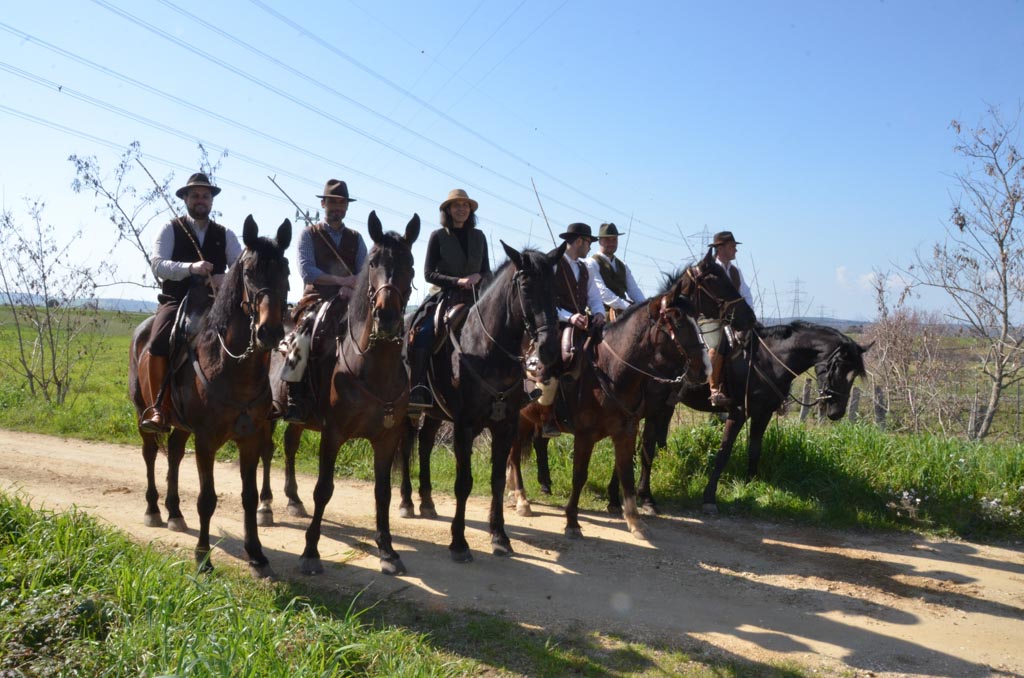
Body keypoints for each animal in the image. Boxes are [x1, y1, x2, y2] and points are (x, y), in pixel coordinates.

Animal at [127, 215, 290, 577]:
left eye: (286, 271)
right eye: (249, 272)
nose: (270, 331)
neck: (231, 364)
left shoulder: (251, 438)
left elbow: (249, 496)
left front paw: (256, 554)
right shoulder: (206, 440)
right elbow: (207, 498)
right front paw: (202, 556)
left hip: (180, 425)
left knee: (174, 453)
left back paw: (174, 512)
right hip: (144, 413)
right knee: (149, 454)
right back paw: (153, 509)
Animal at [270, 209, 417, 577]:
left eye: (409, 263)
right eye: (374, 262)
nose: (387, 315)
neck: (373, 368)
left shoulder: (387, 439)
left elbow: (382, 493)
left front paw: (388, 550)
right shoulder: (333, 434)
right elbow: (324, 489)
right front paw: (310, 551)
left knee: (288, 446)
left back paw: (292, 500)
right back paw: (265, 506)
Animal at [393, 244, 569, 561]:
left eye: (556, 288)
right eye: (526, 288)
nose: (549, 349)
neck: (487, 351)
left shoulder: (505, 425)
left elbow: (498, 480)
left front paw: (499, 536)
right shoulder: (464, 426)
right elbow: (464, 482)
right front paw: (459, 543)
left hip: (436, 413)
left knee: (424, 444)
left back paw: (426, 501)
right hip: (411, 411)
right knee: (407, 444)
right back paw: (406, 502)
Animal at [614, 321, 872, 512]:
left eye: (854, 374)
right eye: (838, 367)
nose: (837, 412)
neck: (769, 360)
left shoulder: (763, 413)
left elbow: (755, 448)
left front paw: (752, 483)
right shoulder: (738, 413)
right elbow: (724, 452)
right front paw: (709, 497)